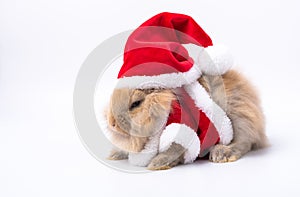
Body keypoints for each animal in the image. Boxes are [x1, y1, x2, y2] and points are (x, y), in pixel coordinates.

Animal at [106, 70, 270, 170]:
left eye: (136, 103)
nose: (112, 123)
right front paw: (114, 155)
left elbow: (172, 151)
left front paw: (156, 164)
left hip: (239, 119)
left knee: (244, 143)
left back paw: (220, 154)